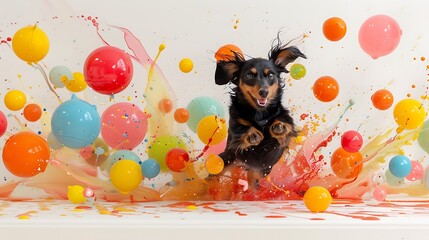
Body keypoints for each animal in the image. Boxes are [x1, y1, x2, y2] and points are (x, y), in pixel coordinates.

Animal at [214, 38, 304, 183]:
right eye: (250, 75)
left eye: (271, 75)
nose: (264, 92)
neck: (260, 114)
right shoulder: (235, 129)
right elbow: (241, 129)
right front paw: (253, 134)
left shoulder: (285, 127)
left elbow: (285, 122)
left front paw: (279, 126)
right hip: (226, 160)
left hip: (260, 173)